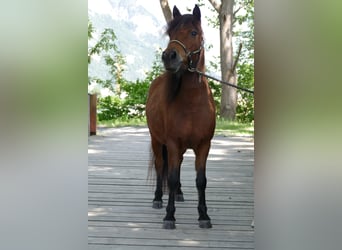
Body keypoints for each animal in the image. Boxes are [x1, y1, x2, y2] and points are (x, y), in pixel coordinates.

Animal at [146, 4, 215, 230]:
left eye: (193, 33)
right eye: (171, 34)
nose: (169, 56)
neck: (192, 104)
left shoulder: (203, 146)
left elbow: (201, 181)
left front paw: (204, 216)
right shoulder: (173, 144)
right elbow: (172, 177)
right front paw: (169, 216)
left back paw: (179, 194)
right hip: (157, 141)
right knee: (161, 167)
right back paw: (158, 198)